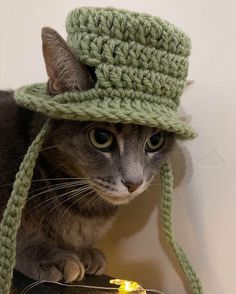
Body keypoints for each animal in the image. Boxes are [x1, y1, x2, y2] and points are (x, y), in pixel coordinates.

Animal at [0, 27, 175, 282]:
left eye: (155, 141)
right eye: (101, 137)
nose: (134, 183)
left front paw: (85, 253)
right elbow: (17, 232)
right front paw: (48, 256)